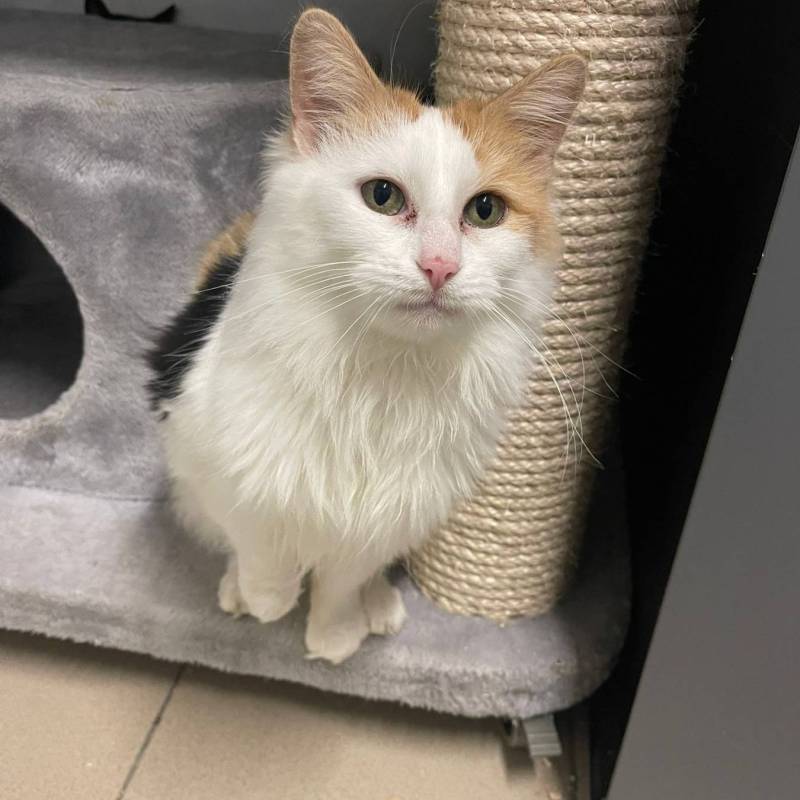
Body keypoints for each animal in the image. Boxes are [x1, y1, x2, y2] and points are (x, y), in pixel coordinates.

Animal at [148, 8, 586, 664]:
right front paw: (268, 601)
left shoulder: (393, 514)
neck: (385, 375)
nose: (439, 267)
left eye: (485, 211)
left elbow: (341, 579)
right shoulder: (217, 460)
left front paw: (335, 636)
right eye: (382, 196)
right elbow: (261, 542)